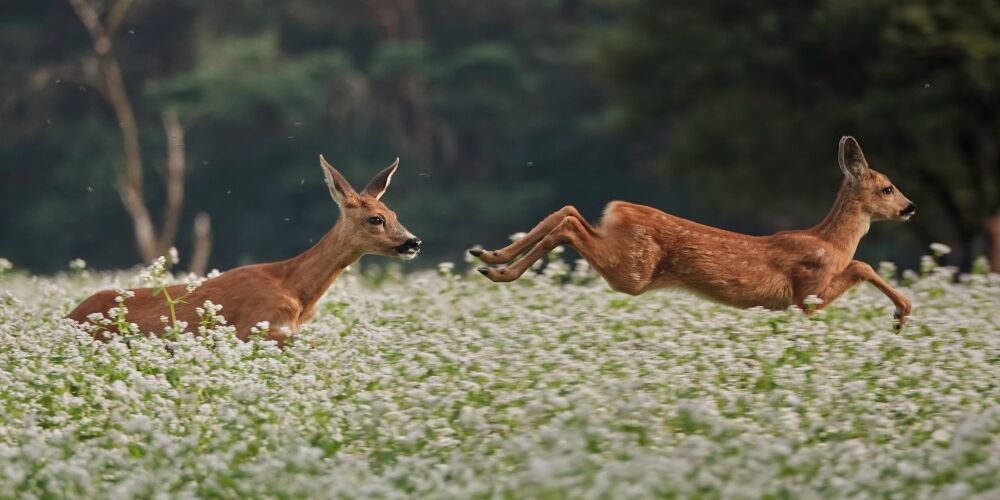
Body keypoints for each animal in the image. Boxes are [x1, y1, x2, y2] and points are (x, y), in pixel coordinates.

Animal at [65, 156, 418, 344]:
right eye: (376, 219)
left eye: (394, 214)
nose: (413, 242)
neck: (294, 288)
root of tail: (68, 318)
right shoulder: (251, 327)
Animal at [472, 137, 916, 324]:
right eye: (887, 187)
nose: (910, 208)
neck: (830, 242)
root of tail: (619, 209)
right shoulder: (808, 291)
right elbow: (862, 266)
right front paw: (902, 312)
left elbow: (861, 266)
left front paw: (900, 313)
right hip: (633, 271)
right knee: (569, 225)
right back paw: (498, 269)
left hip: (623, 255)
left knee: (569, 212)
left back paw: (489, 258)